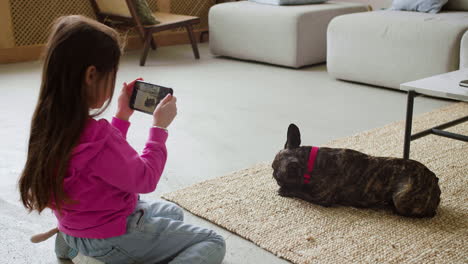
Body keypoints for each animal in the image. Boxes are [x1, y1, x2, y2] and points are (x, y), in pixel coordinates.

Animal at [272, 125, 440, 218]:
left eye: (277, 177)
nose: (273, 175)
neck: (310, 161)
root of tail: (434, 179)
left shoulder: (321, 198)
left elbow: (302, 193)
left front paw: (286, 191)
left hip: (402, 198)